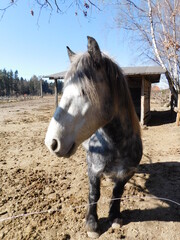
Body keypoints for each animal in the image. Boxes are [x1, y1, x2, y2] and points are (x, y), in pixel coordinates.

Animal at [44, 36, 142, 238]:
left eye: (84, 91)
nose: (51, 143)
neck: (117, 145)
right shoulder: (94, 169)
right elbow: (93, 194)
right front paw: (92, 225)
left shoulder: (127, 172)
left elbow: (118, 191)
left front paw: (114, 216)